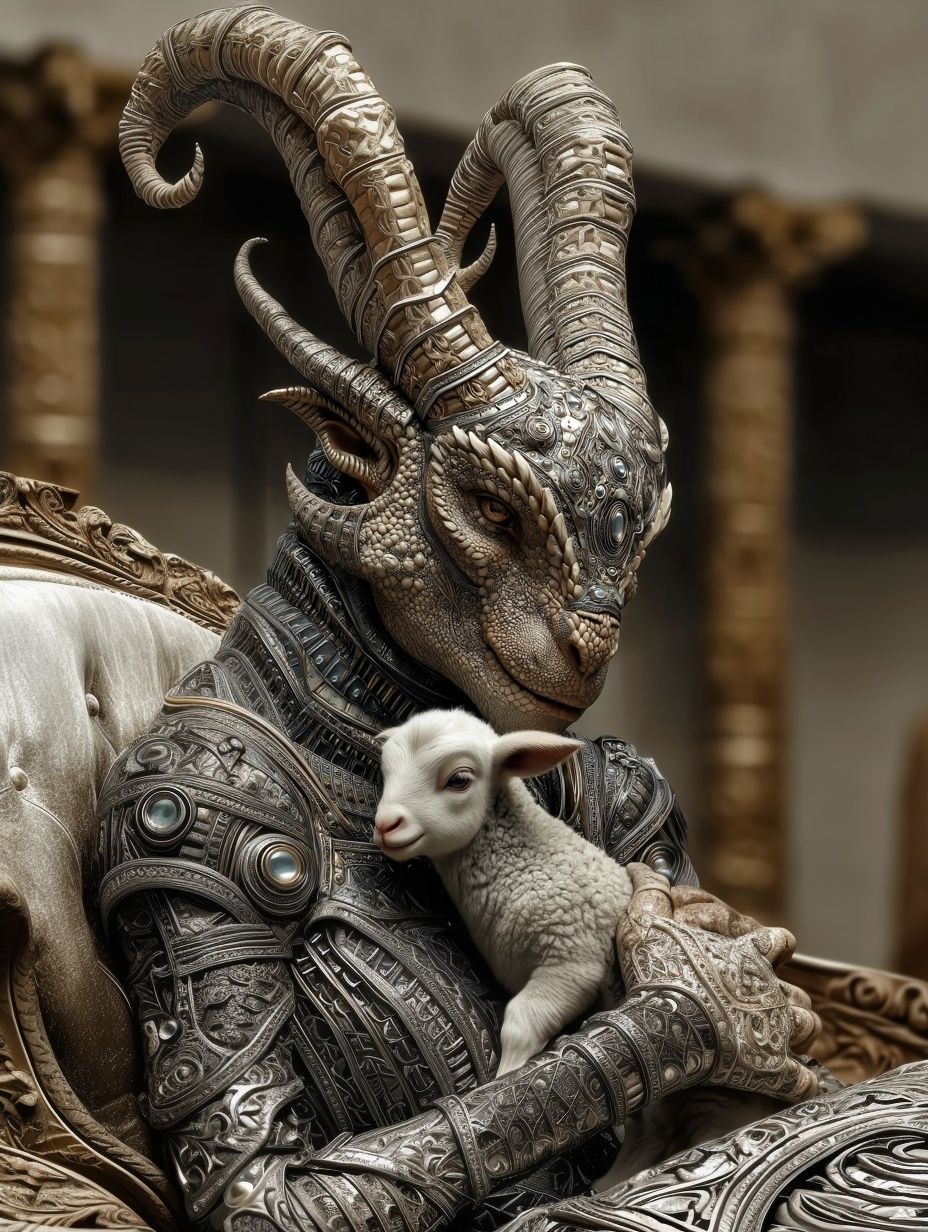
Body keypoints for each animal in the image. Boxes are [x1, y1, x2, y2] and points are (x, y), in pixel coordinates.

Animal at [374, 707, 632, 1075]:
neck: (525, 861)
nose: (386, 825)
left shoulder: (572, 959)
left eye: (459, 779)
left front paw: (507, 1075)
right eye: (385, 769)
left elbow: (520, 1023)